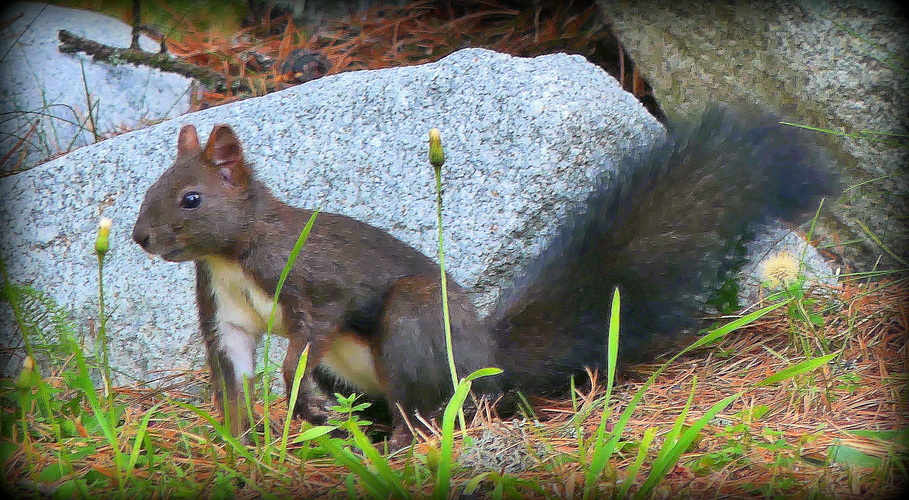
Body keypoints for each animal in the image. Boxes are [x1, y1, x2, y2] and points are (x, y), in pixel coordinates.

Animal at [133, 104, 836, 446]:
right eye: (150, 188)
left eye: (191, 199)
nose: (140, 238)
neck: (232, 254)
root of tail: (490, 358)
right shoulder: (224, 310)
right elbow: (233, 370)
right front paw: (245, 442)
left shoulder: (315, 279)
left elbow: (307, 337)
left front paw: (294, 394)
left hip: (414, 324)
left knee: (436, 407)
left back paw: (400, 441)